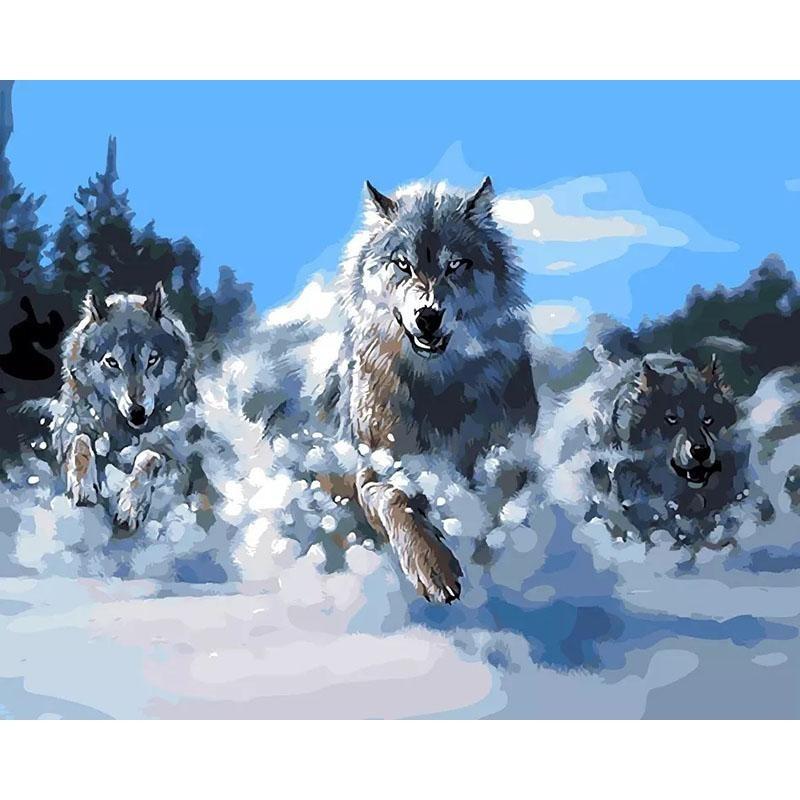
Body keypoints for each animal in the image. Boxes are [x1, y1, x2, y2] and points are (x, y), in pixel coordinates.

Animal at [44, 282, 195, 530]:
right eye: (112, 362)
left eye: (152, 359)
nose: (137, 411)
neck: (124, 431)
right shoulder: (70, 430)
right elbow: (80, 443)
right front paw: (83, 488)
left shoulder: (176, 456)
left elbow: (147, 457)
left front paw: (129, 507)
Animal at [315, 177, 539, 602]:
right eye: (402, 264)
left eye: (456, 264)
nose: (428, 316)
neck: (438, 388)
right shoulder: (375, 467)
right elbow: (396, 499)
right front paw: (432, 567)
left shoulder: (510, 457)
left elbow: (495, 510)